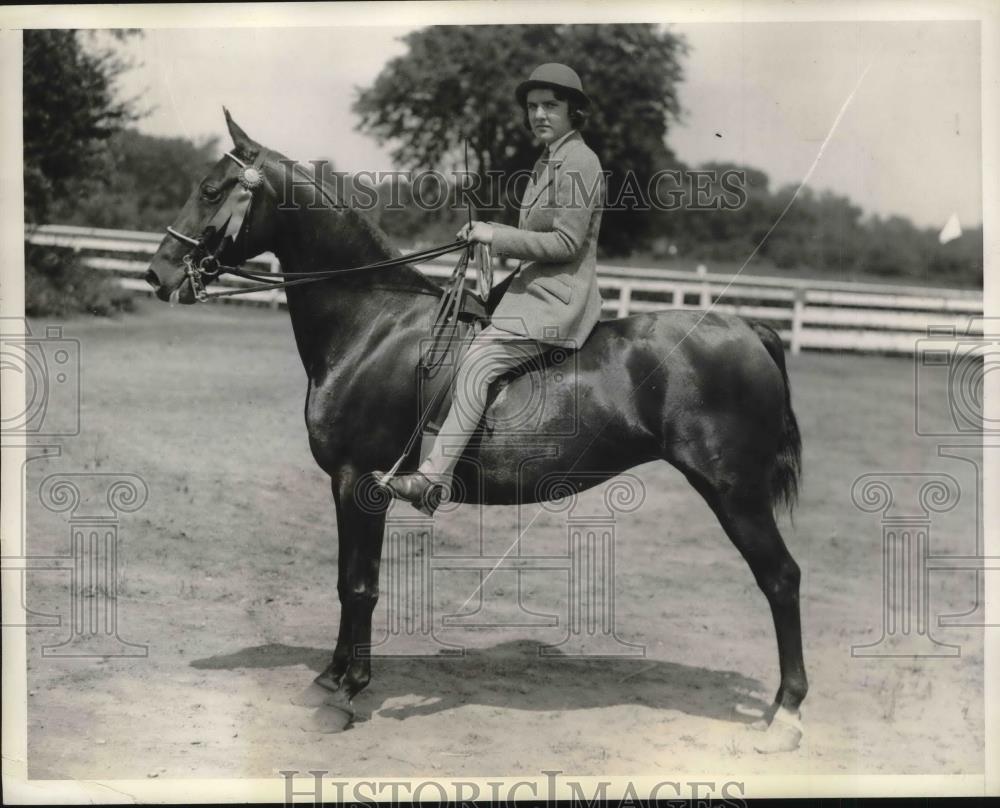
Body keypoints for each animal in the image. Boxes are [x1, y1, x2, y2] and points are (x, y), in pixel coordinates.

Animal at [145, 112, 808, 752]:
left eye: (210, 190)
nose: (157, 274)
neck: (372, 322)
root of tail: (748, 328)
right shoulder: (345, 485)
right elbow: (343, 582)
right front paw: (328, 680)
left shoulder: (359, 483)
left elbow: (359, 586)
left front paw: (346, 693)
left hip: (734, 492)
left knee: (781, 579)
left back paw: (787, 715)